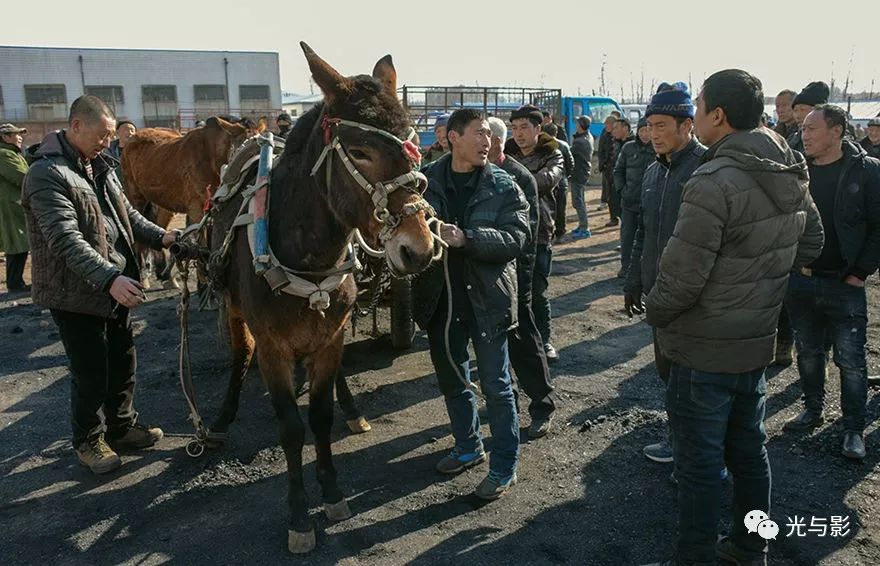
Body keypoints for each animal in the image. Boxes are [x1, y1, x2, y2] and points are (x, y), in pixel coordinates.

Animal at [207, 43, 440, 556]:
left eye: (413, 140)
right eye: (360, 151)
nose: (419, 248)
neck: (308, 261)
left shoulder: (331, 336)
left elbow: (320, 415)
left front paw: (332, 493)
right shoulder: (273, 349)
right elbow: (291, 428)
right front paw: (298, 517)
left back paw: (353, 412)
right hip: (234, 309)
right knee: (238, 355)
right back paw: (219, 420)